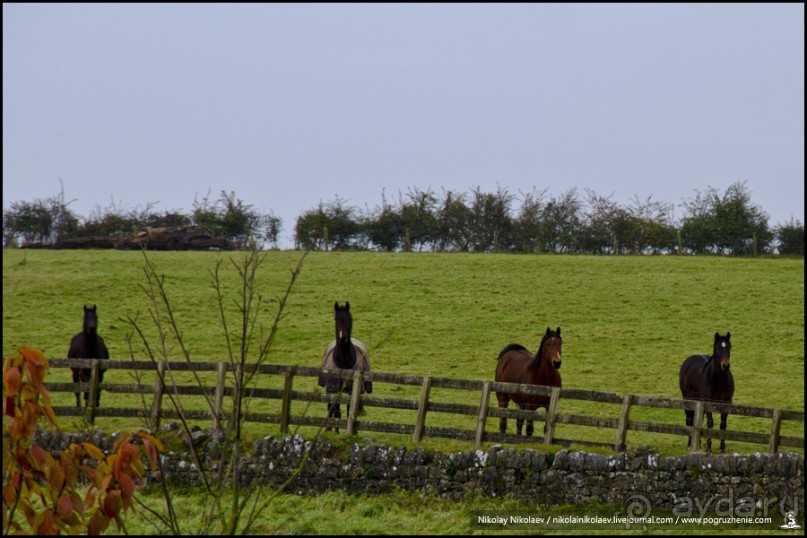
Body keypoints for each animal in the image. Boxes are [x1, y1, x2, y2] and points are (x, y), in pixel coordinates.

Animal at [318, 302, 376, 432]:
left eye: (349, 319)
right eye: (336, 318)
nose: (342, 338)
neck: (343, 362)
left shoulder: (351, 389)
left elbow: (350, 409)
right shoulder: (333, 387)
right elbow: (335, 409)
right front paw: (333, 431)